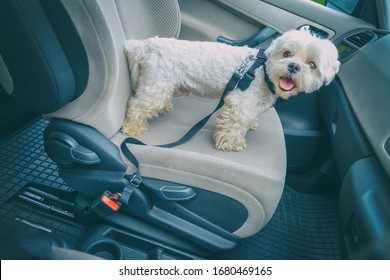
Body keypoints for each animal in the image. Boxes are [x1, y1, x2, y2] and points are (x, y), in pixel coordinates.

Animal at [122, 29, 338, 151]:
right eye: (287, 53)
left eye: (311, 64)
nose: (293, 66)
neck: (263, 71)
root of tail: (152, 42)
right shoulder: (240, 103)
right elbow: (236, 123)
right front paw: (231, 143)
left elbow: (250, 117)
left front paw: (251, 124)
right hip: (157, 86)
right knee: (137, 104)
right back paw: (133, 126)